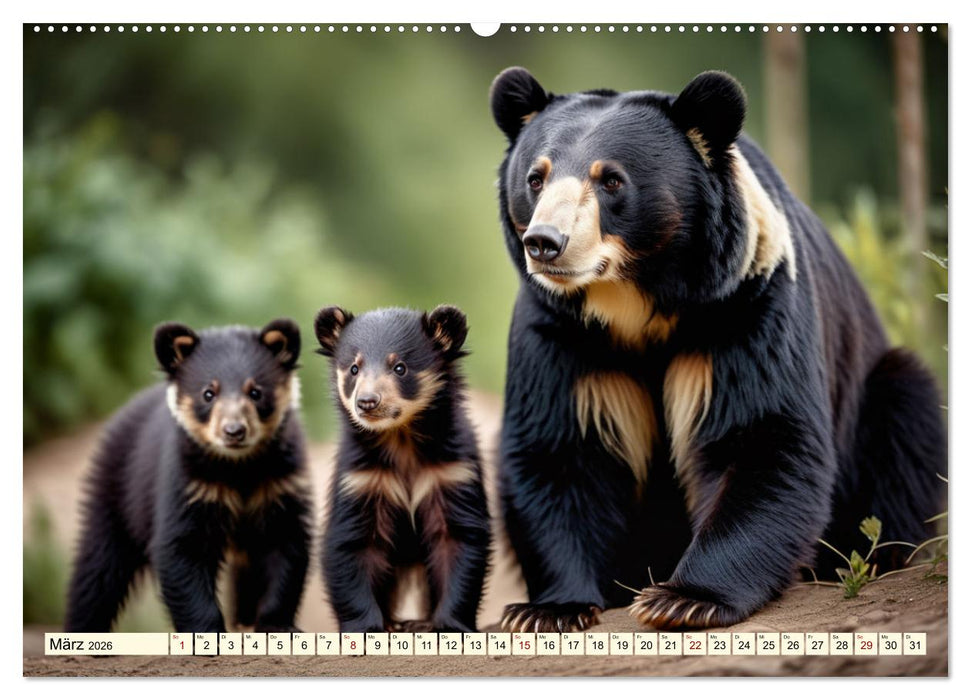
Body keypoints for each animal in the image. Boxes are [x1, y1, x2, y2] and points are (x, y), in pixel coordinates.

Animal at [65, 319, 312, 633]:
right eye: (208, 392)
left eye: (256, 392)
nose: (234, 431)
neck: (239, 468)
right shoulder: (188, 484)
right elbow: (182, 551)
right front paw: (208, 631)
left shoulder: (280, 484)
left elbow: (285, 546)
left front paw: (277, 625)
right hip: (116, 490)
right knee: (99, 569)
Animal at [314, 305, 490, 633]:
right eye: (354, 368)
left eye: (400, 367)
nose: (367, 402)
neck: (400, 438)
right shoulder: (359, 479)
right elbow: (351, 545)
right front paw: (367, 627)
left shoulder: (453, 472)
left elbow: (459, 541)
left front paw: (448, 625)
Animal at [489, 67, 946, 632]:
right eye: (536, 178)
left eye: (611, 180)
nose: (546, 243)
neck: (632, 301)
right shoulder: (559, 330)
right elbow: (560, 452)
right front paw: (549, 609)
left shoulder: (748, 302)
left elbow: (762, 436)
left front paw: (682, 597)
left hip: (876, 391)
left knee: (904, 419)